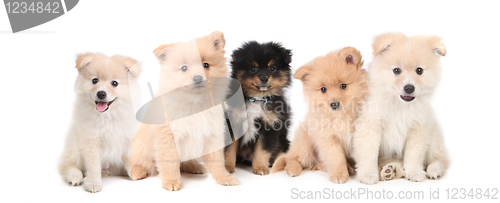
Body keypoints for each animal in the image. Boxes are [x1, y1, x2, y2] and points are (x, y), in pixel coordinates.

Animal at [60, 53, 143, 193]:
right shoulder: (91, 141)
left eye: (114, 83)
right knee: (69, 165)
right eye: (94, 81)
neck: (107, 116)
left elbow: (131, 157)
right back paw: (74, 176)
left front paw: (136, 172)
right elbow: (93, 165)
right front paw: (93, 183)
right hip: (74, 146)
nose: (101, 93)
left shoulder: (129, 137)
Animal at [128, 31, 239, 190]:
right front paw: (171, 181)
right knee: (139, 162)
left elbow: (217, 161)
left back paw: (195, 167)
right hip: (141, 149)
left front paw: (224, 177)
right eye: (184, 68)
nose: (198, 78)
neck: (194, 103)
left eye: (206, 65)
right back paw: (137, 172)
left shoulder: (213, 135)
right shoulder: (168, 137)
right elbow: (170, 163)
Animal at [224, 40, 292, 174]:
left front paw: (260, 168)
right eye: (253, 69)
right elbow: (230, 148)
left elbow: (262, 150)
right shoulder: (234, 121)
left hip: (284, 142)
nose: (264, 78)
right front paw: (227, 168)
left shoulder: (270, 124)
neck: (257, 98)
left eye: (272, 68)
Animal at [272, 46, 370, 183]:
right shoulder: (327, 138)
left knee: (317, 163)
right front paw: (339, 174)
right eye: (323, 89)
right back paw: (292, 169)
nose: (334, 104)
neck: (341, 116)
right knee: (291, 158)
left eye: (343, 86)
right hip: (304, 143)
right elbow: (336, 158)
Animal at [354, 32, 452, 185]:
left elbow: (414, 154)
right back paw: (390, 171)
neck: (400, 105)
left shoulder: (418, 128)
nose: (409, 88)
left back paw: (434, 170)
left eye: (419, 71)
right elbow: (368, 153)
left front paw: (415, 172)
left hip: (433, 137)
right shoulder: (370, 126)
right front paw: (368, 174)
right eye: (396, 70)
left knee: (440, 159)